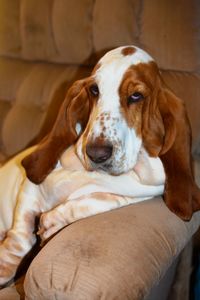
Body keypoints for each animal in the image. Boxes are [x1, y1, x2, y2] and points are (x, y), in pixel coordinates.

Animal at [0, 45, 200, 288]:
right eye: (94, 90)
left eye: (136, 95)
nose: (97, 153)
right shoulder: (31, 189)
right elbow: (20, 236)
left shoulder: (139, 193)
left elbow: (96, 201)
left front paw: (52, 222)